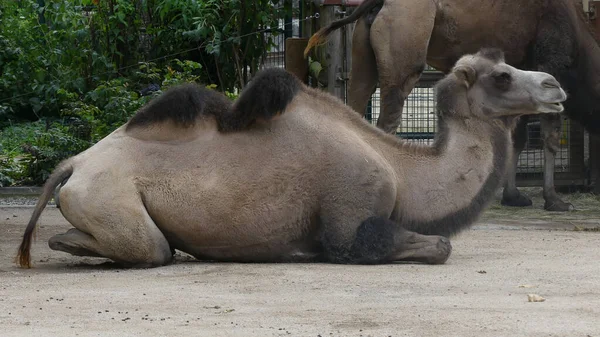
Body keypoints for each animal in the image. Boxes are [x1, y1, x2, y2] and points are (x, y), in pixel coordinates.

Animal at [15, 48, 568, 268]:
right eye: (501, 76)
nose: (555, 85)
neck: (399, 168)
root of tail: (72, 163)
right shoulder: (350, 210)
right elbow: (434, 246)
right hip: (106, 194)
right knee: (150, 247)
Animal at [304, 0, 600, 210]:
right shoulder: (550, 63)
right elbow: (549, 136)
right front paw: (555, 200)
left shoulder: (524, 77)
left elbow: (518, 139)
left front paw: (513, 196)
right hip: (405, 48)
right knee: (388, 118)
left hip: (362, 58)